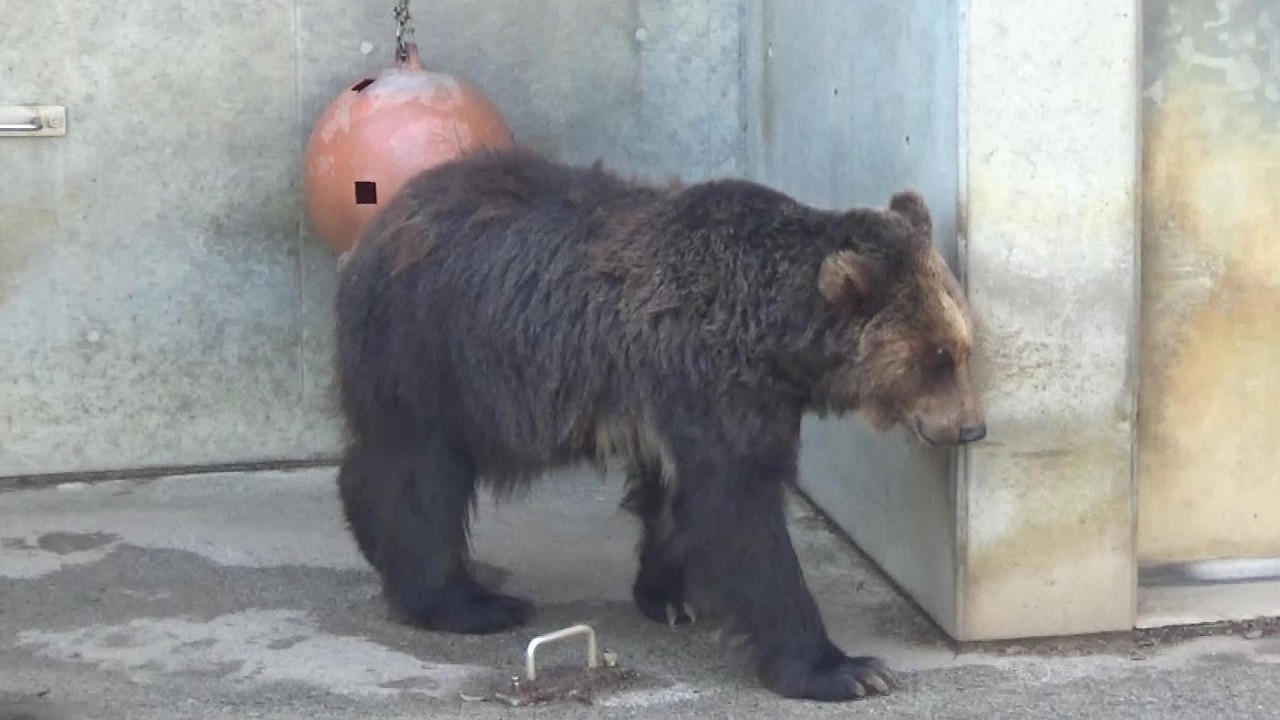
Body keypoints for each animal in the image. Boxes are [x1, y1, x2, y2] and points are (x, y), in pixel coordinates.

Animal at [332, 147, 985, 702]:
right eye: (935, 358)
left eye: (964, 346)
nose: (972, 428)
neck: (773, 339)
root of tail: (379, 223)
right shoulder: (712, 380)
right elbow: (742, 514)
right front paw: (844, 668)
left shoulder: (688, 396)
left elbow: (679, 498)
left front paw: (669, 595)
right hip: (434, 352)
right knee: (422, 477)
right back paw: (469, 603)